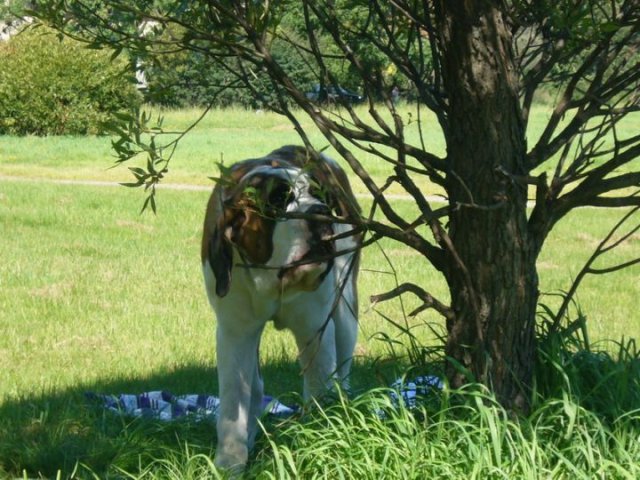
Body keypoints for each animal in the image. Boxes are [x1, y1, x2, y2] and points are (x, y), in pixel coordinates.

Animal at [201, 145, 360, 468]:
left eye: (319, 195)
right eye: (278, 199)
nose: (320, 211)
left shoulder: (315, 328)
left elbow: (319, 382)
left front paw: (320, 441)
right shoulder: (234, 332)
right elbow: (234, 398)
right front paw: (230, 461)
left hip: (345, 307)